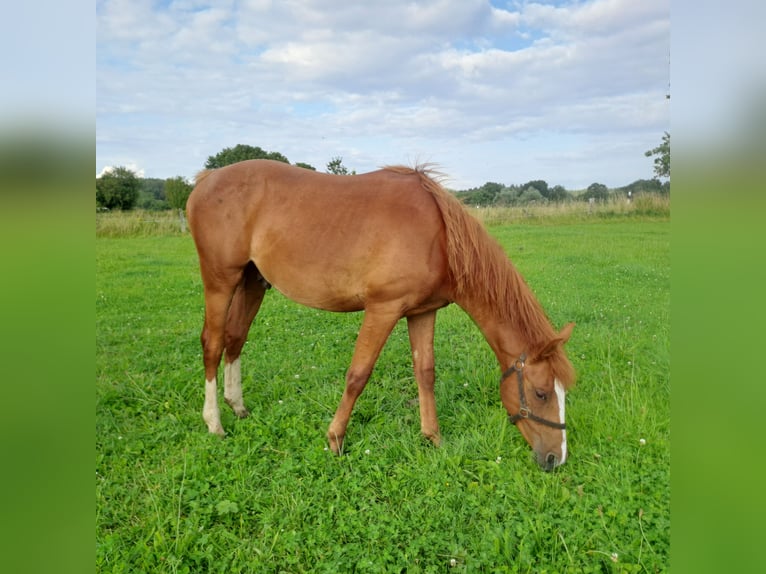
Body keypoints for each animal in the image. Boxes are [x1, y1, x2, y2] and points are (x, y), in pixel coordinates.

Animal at [188, 159, 576, 472]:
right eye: (541, 393)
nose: (556, 458)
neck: (438, 235)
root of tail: (206, 179)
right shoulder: (383, 308)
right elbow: (358, 375)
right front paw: (335, 439)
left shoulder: (422, 312)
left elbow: (425, 373)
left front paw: (433, 438)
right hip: (220, 281)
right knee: (213, 343)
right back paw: (215, 423)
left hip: (252, 281)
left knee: (235, 339)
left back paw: (237, 407)